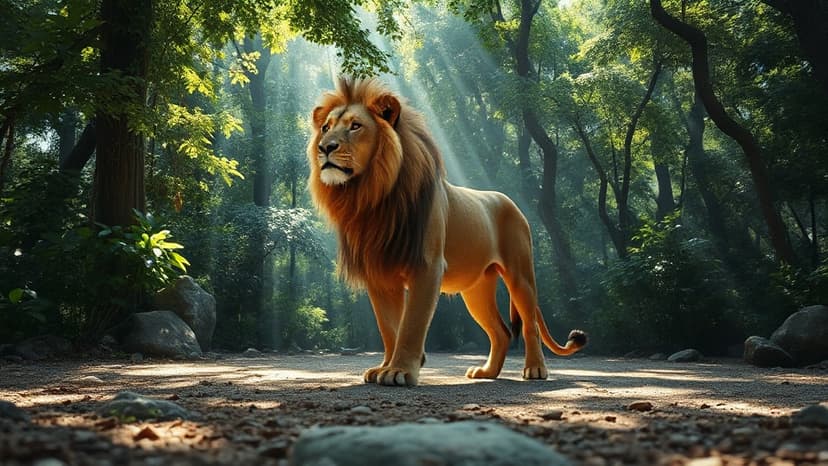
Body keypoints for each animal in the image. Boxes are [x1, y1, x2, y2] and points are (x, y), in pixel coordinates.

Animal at [307, 77, 586, 386]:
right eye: (326, 128)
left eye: (355, 126)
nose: (324, 147)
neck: (371, 196)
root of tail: (510, 201)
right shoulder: (380, 275)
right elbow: (390, 328)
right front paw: (384, 368)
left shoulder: (427, 266)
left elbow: (412, 324)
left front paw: (400, 371)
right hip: (476, 290)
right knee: (501, 331)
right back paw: (486, 373)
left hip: (520, 276)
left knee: (529, 324)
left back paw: (535, 369)